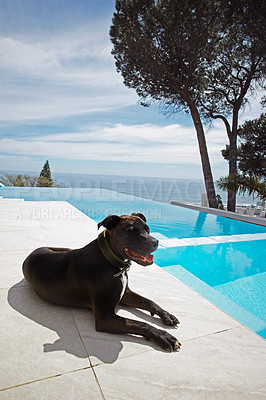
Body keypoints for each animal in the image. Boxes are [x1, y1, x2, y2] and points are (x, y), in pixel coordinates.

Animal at [22, 212, 181, 350]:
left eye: (148, 230)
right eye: (131, 231)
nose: (156, 242)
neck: (112, 261)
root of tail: (33, 252)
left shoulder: (125, 294)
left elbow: (149, 302)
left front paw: (167, 315)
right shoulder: (105, 318)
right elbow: (141, 324)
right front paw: (164, 336)